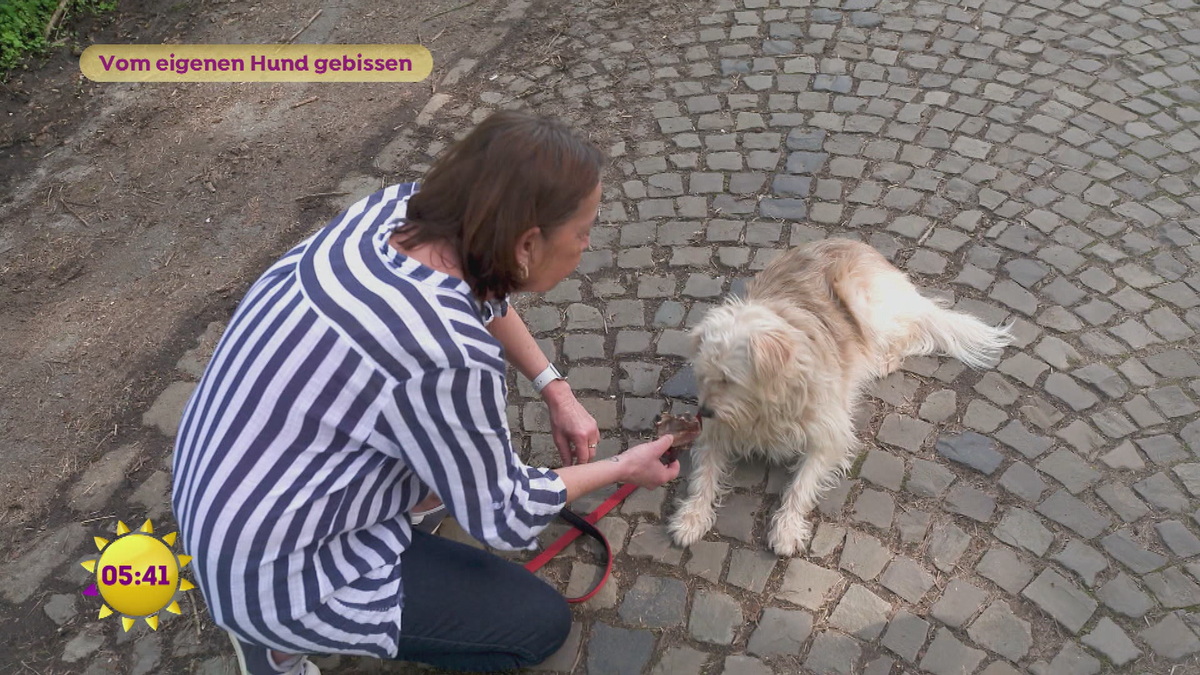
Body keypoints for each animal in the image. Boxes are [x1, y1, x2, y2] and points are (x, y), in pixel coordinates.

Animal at [667, 239, 1012, 554]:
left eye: (729, 379)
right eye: (703, 375)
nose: (704, 412)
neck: (766, 406)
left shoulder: (828, 436)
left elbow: (801, 485)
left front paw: (787, 529)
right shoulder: (718, 433)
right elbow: (703, 475)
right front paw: (691, 517)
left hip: (862, 302)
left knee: (911, 329)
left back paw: (884, 359)